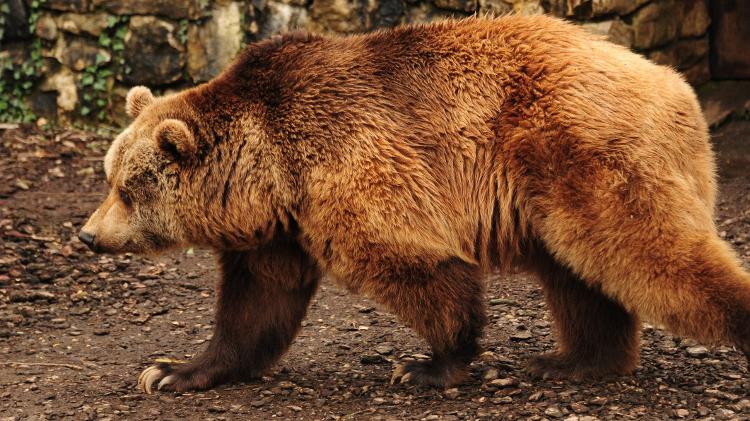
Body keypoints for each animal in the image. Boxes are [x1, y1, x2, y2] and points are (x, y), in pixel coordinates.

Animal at [79, 14, 748, 392]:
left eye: (128, 188)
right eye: (108, 176)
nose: (88, 234)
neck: (266, 172)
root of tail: (673, 84)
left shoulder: (348, 164)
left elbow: (416, 262)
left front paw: (429, 365)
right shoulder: (280, 228)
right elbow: (257, 304)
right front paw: (171, 371)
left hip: (583, 152)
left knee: (652, 252)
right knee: (582, 278)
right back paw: (572, 362)